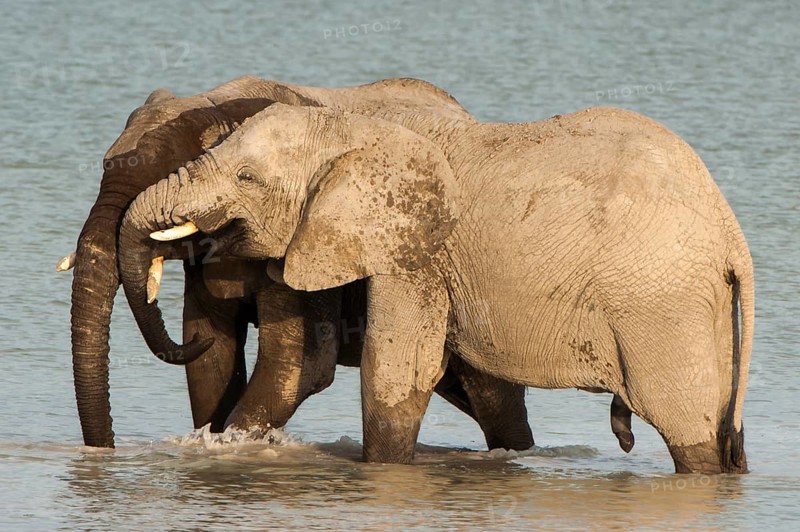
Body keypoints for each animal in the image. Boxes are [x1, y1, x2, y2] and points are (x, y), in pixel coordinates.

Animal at [59, 76, 533, 451]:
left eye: (159, 175)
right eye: (103, 167)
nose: (105, 451)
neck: (216, 101)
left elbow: (296, 365)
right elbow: (212, 362)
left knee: (494, 400)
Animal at [118, 103, 754, 474]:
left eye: (248, 178)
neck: (352, 128)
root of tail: (732, 234)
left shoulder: (414, 250)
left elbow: (397, 367)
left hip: (661, 303)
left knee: (686, 429)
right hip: (701, 306)